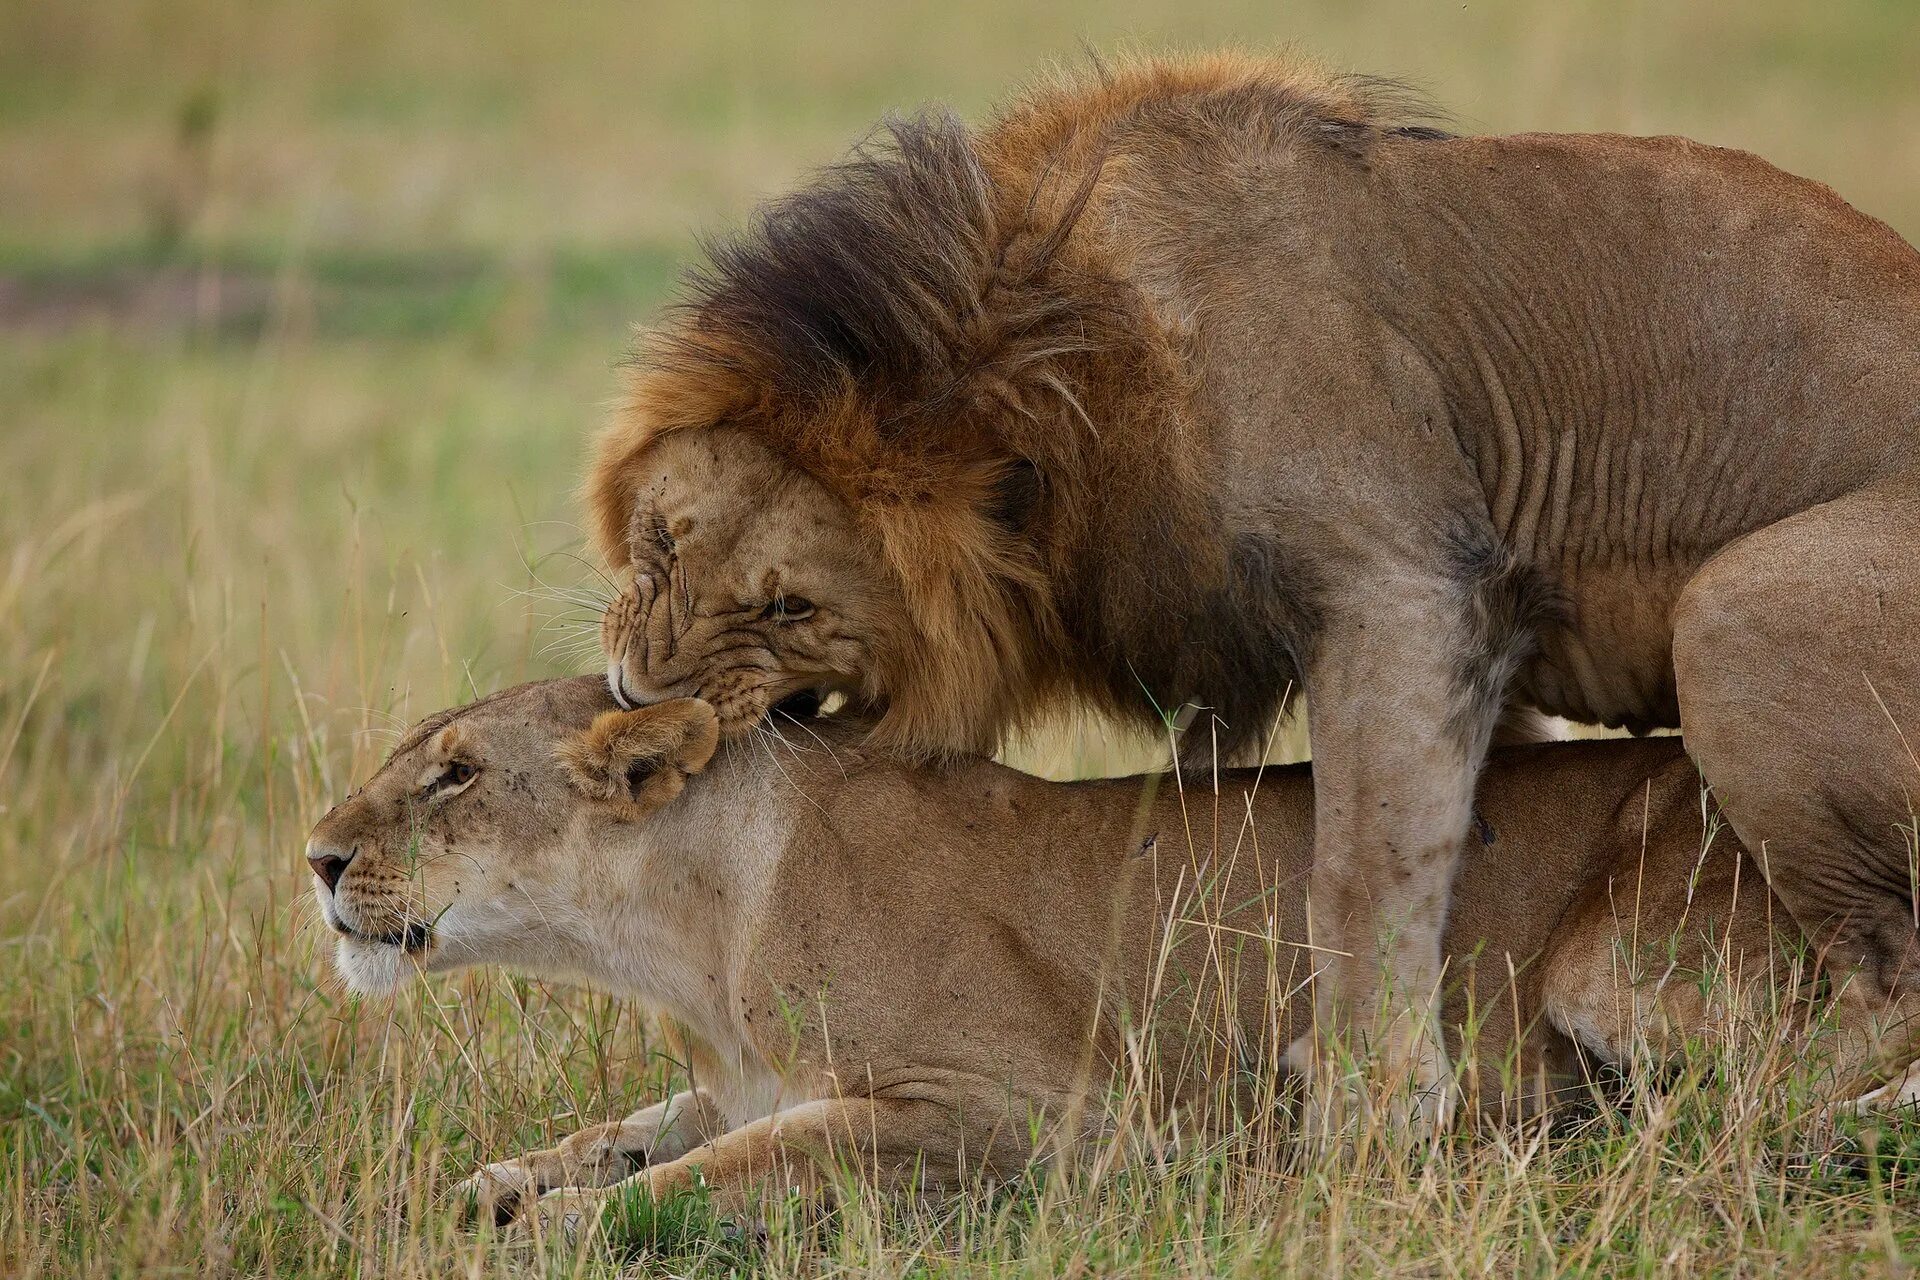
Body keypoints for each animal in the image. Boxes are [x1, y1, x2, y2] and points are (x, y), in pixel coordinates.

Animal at [307, 679, 1896, 1228]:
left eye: (455, 773)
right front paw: (500, 1182)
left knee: (1837, 1063)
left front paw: (561, 1231)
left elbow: (726, 1169)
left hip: (1617, 958)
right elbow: (639, 1126)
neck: (685, 934)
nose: (315, 858)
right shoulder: (740, 1075)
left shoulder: (1030, 1110)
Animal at [579, 55, 1920, 1128]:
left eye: (789, 608)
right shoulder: (1289, 651)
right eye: (657, 541)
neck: (1075, 360)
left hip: (1735, 609)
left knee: (1888, 969)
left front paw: (1372, 1107)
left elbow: (1363, 862)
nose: (634, 695)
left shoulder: (1409, 584)